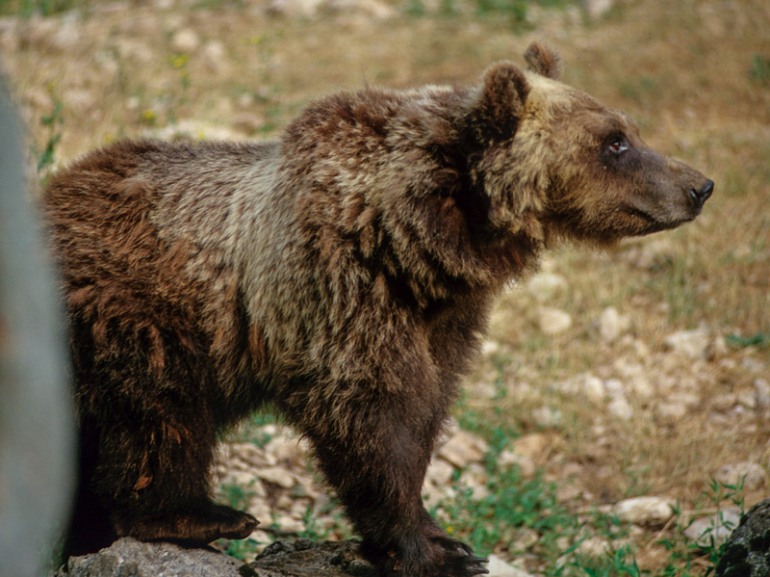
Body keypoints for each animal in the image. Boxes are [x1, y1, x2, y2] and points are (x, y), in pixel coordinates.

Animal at [45, 45, 712, 576]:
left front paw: (439, 530)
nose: (699, 185)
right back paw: (203, 515)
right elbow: (370, 411)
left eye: (628, 131)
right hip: (136, 313)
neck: (417, 238)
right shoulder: (339, 288)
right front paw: (426, 546)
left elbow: (428, 407)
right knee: (160, 418)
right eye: (615, 142)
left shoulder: (445, 317)